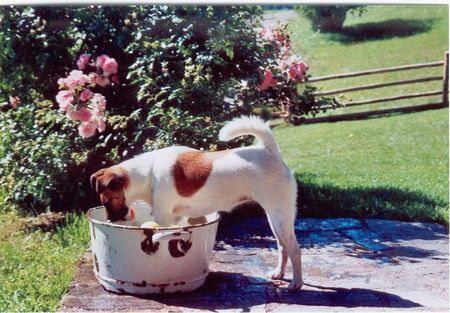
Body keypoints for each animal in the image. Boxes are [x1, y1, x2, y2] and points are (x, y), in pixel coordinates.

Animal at [90, 116, 304, 288]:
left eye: (107, 202)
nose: (110, 221)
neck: (147, 173)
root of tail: (269, 151)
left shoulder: (163, 218)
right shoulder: (176, 217)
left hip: (279, 217)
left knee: (295, 249)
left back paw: (296, 283)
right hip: (275, 218)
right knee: (283, 246)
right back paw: (279, 274)